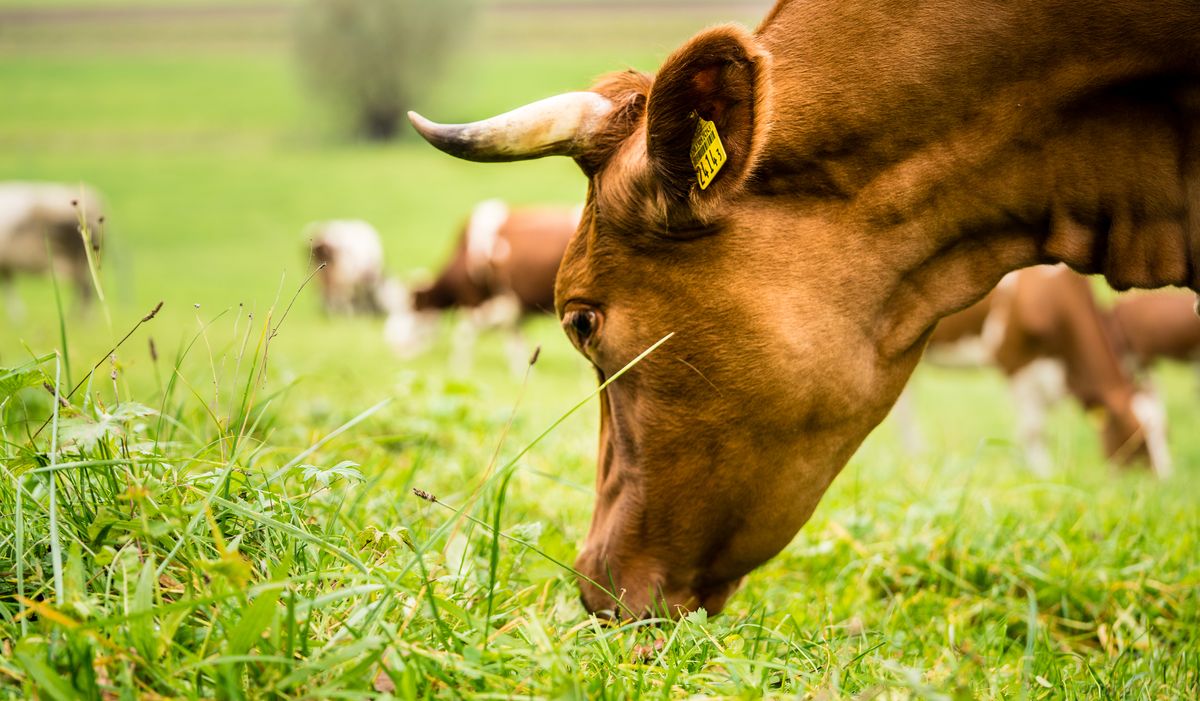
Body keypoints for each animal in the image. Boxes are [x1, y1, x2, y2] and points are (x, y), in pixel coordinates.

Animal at [379, 198, 576, 372]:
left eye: (412, 307)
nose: (393, 344)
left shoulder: (489, 303)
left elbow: (464, 334)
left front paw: (458, 370)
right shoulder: (510, 309)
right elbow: (515, 343)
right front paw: (522, 373)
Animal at [902, 265, 1171, 480]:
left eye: (1166, 434)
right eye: (1136, 439)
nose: (1164, 481)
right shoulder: (1015, 365)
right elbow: (1033, 430)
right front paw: (1042, 474)